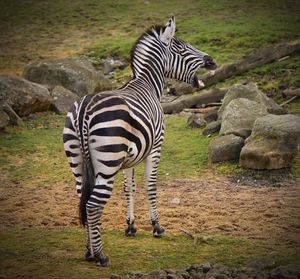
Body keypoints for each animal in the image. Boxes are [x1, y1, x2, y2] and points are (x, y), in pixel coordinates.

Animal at [62, 16, 216, 268]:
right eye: (182, 47)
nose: (212, 61)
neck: (148, 85)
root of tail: (84, 108)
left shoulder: (131, 157)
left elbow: (129, 188)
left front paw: (131, 226)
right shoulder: (155, 147)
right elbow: (150, 185)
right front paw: (157, 227)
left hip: (77, 161)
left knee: (82, 201)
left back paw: (88, 250)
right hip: (108, 160)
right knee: (93, 205)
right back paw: (100, 255)